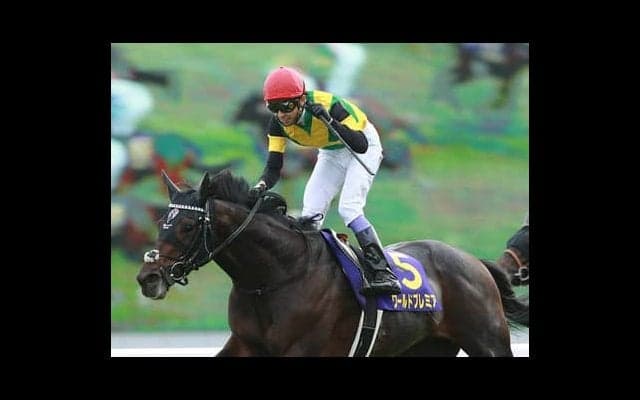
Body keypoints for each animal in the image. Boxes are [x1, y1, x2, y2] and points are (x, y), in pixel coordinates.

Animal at [137, 169, 529, 356]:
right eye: (161, 222)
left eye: (188, 226)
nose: (147, 277)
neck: (273, 277)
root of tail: (474, 262)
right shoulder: (245, 344)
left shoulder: (305, 349)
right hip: (427, 349)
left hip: (487, 341)